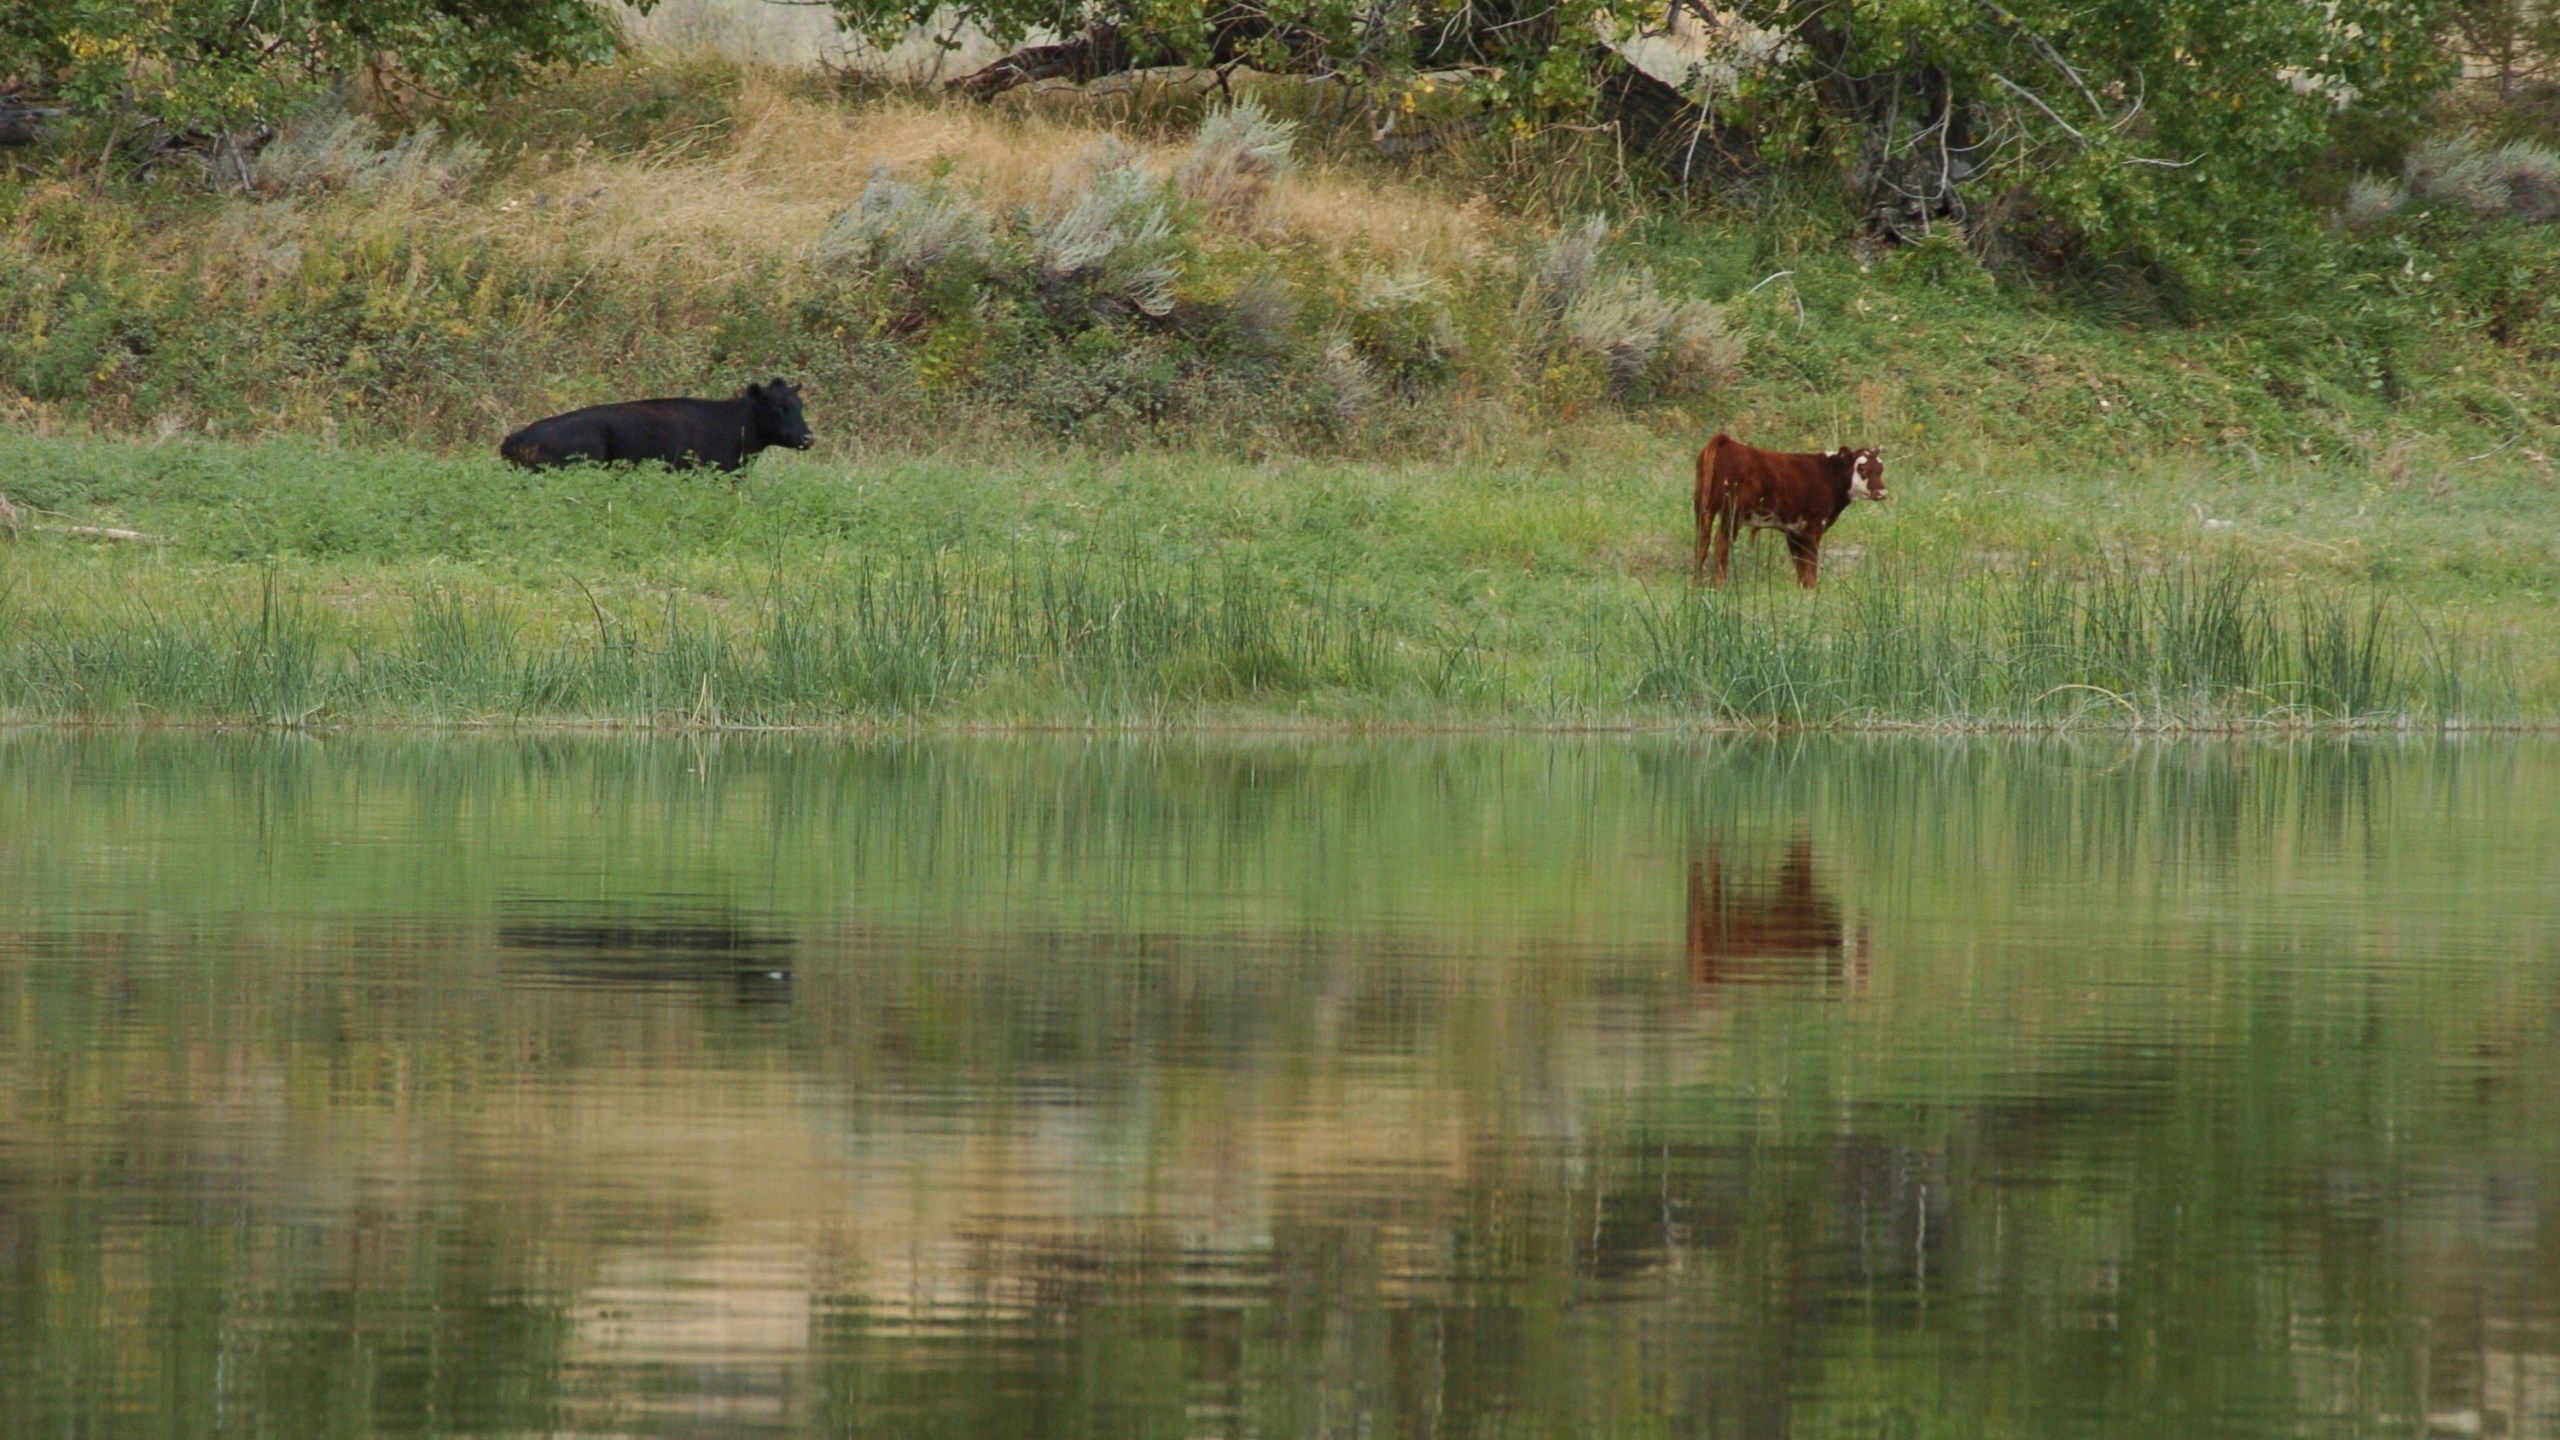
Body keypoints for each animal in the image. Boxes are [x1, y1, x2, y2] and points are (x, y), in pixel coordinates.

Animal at [1689, 430, 1894, 584]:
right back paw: (1720, 585)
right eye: (1862, 468)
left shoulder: (1794, 531)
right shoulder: (1813, 526)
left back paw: (1697, 583)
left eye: (1881, 468)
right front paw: (1812, 590)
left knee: (1702, 542)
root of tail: (1726, 441)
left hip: (1703, 508)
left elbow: (1800, 565)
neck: (1828, 475)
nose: (1881, 492)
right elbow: (1810, 564)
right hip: (1732, 513)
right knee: (1721, 543)